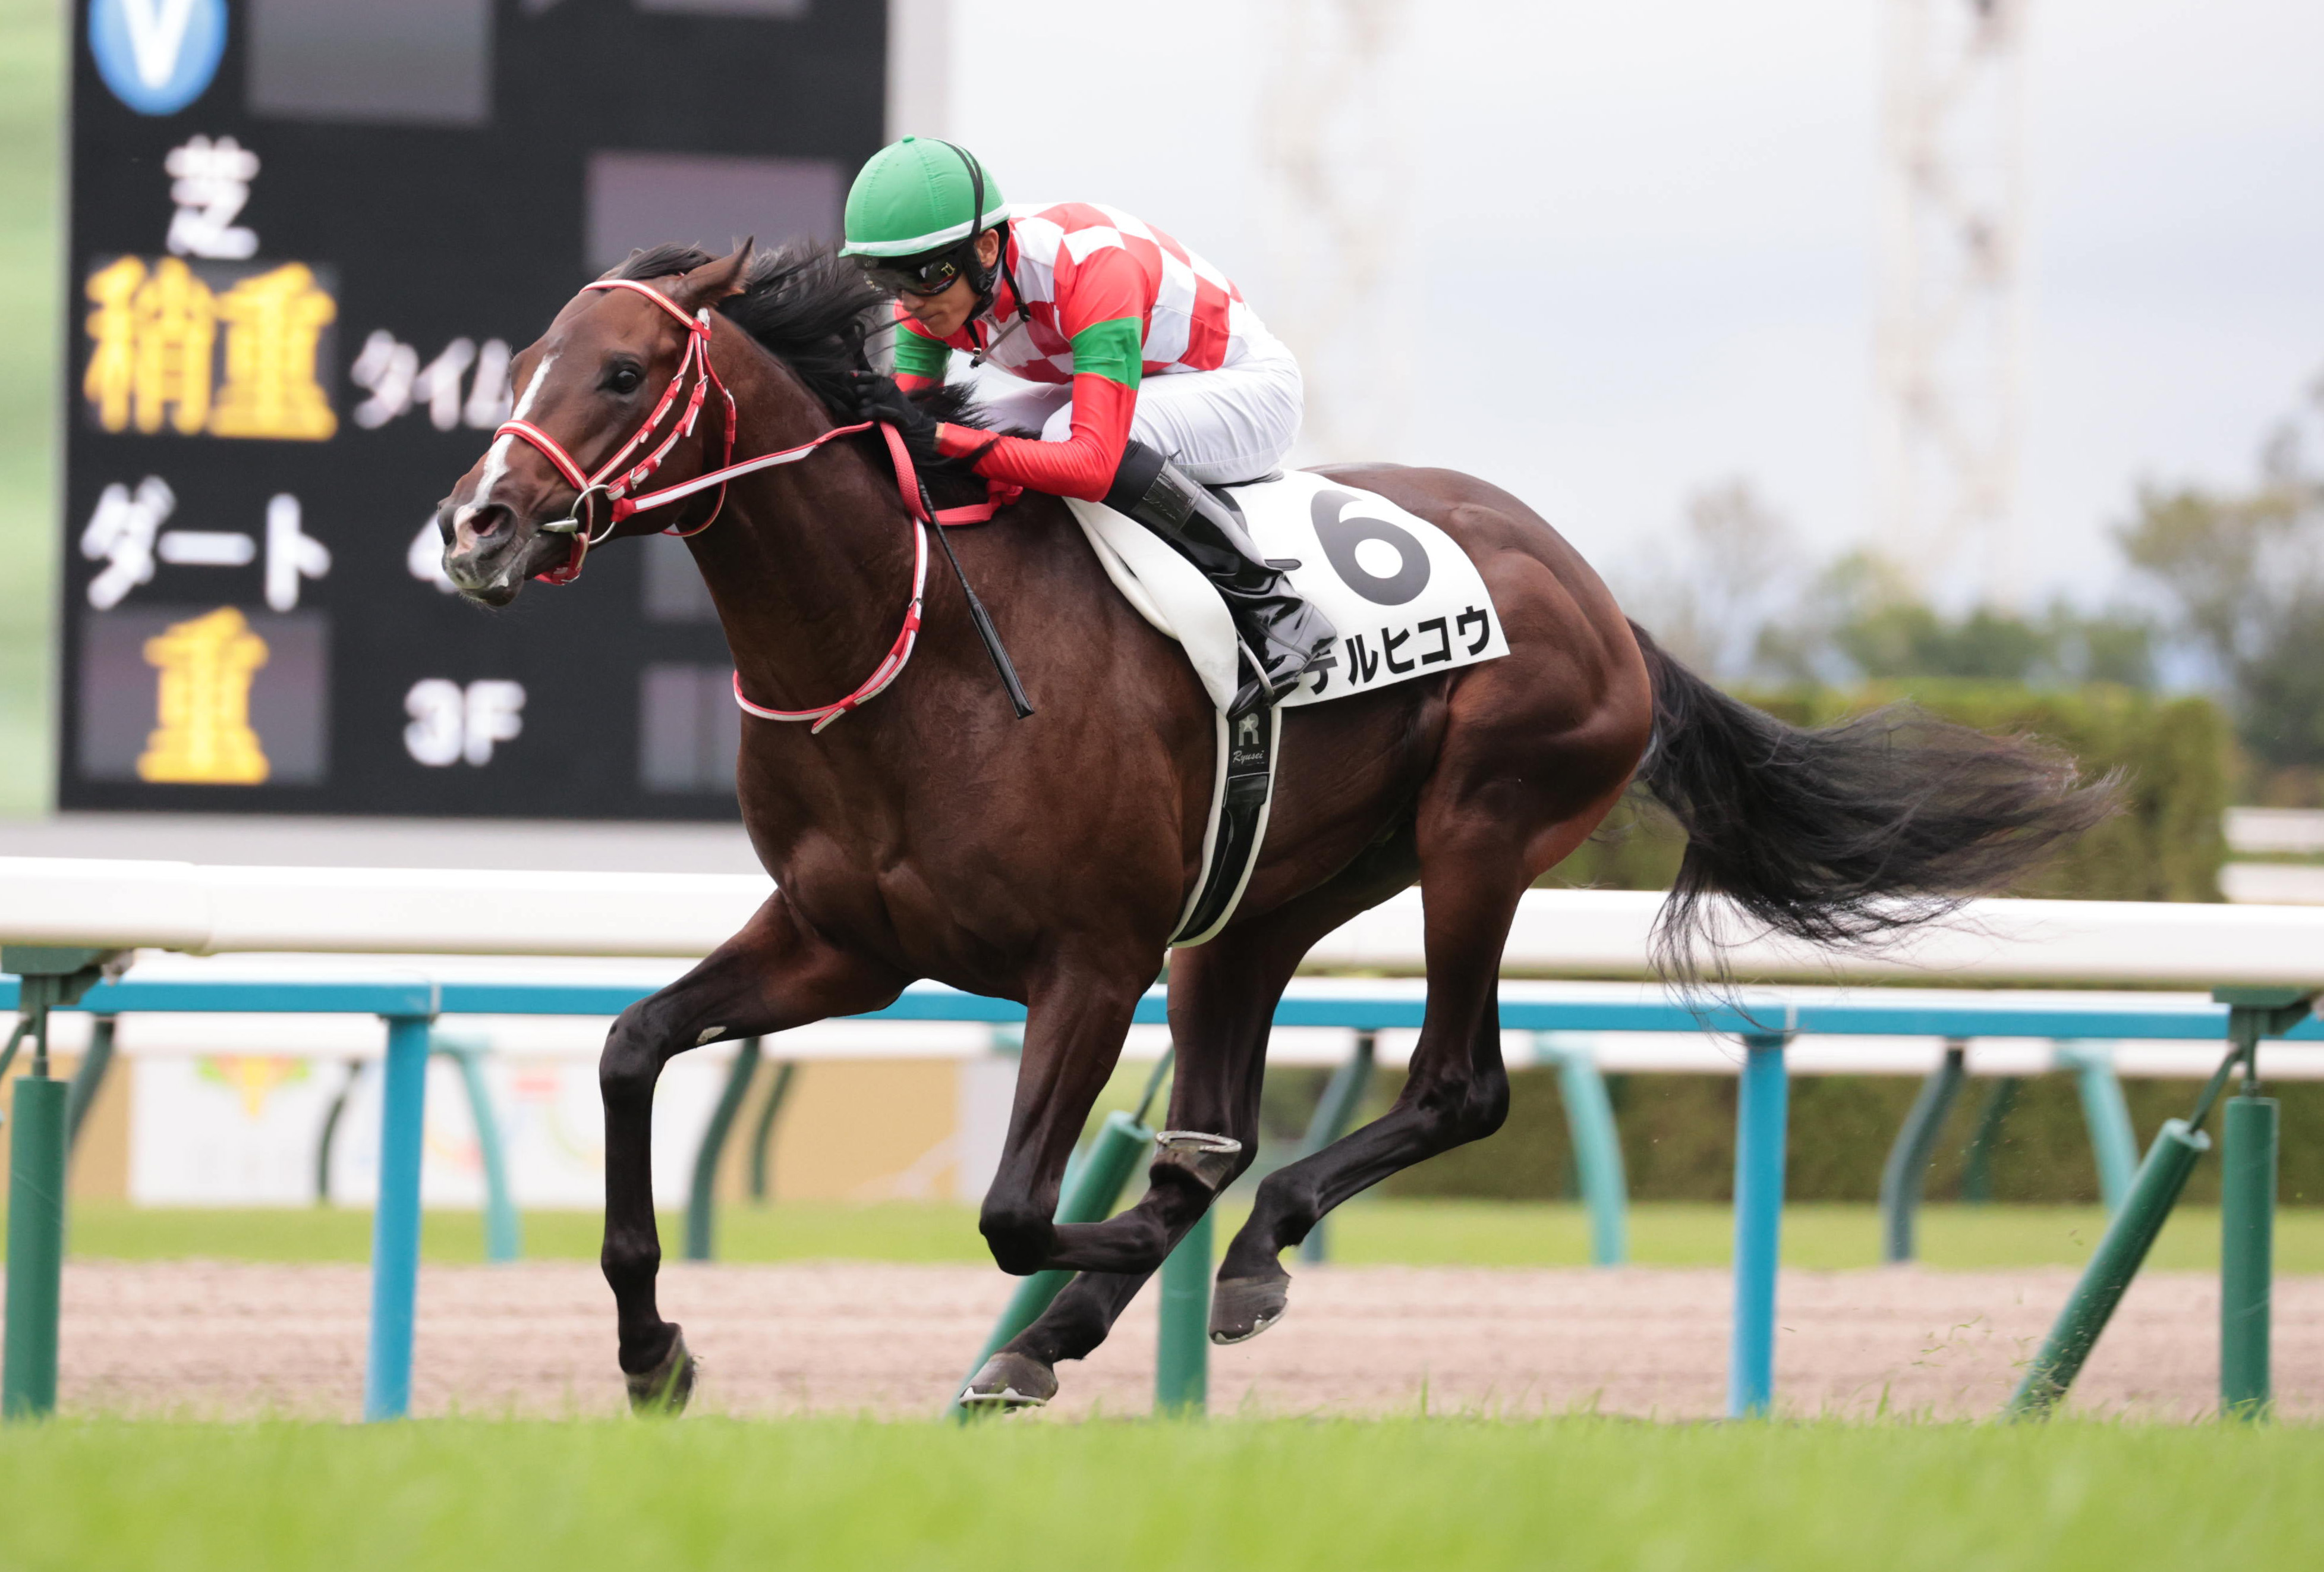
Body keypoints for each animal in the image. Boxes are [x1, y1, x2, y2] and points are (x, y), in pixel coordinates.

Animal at [435, 240, 2109, 1412]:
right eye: (520, 362)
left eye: (622, 372)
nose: (477, 525)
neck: (911, 643)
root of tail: (1601, 597)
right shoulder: (843, 942)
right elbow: (631, 1048)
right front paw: (652, 1350)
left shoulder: (1089, 957)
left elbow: (1020, 1206)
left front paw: (1117, 1250)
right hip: (1258, 902)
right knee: (1242, 1113)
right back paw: (1079, 1324)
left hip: (1478, 833)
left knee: (1453, 1088)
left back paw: (1236, 1258)